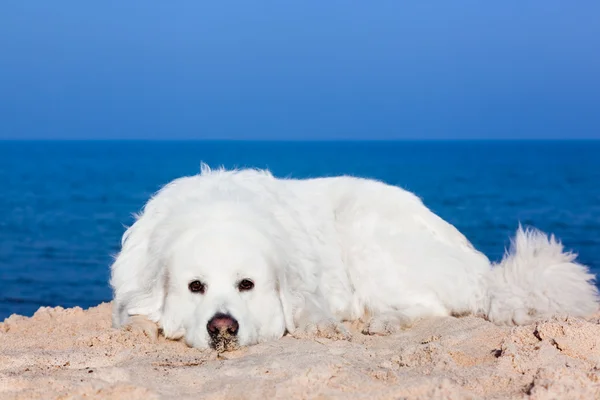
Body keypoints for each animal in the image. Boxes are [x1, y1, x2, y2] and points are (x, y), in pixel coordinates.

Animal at [110, 166, 596, 350]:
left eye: (246, 284)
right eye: (196, 287)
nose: (222, 327)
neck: (220, 210)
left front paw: (319, 324)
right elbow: (131, 313)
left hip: (367, 234)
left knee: (447, 302)